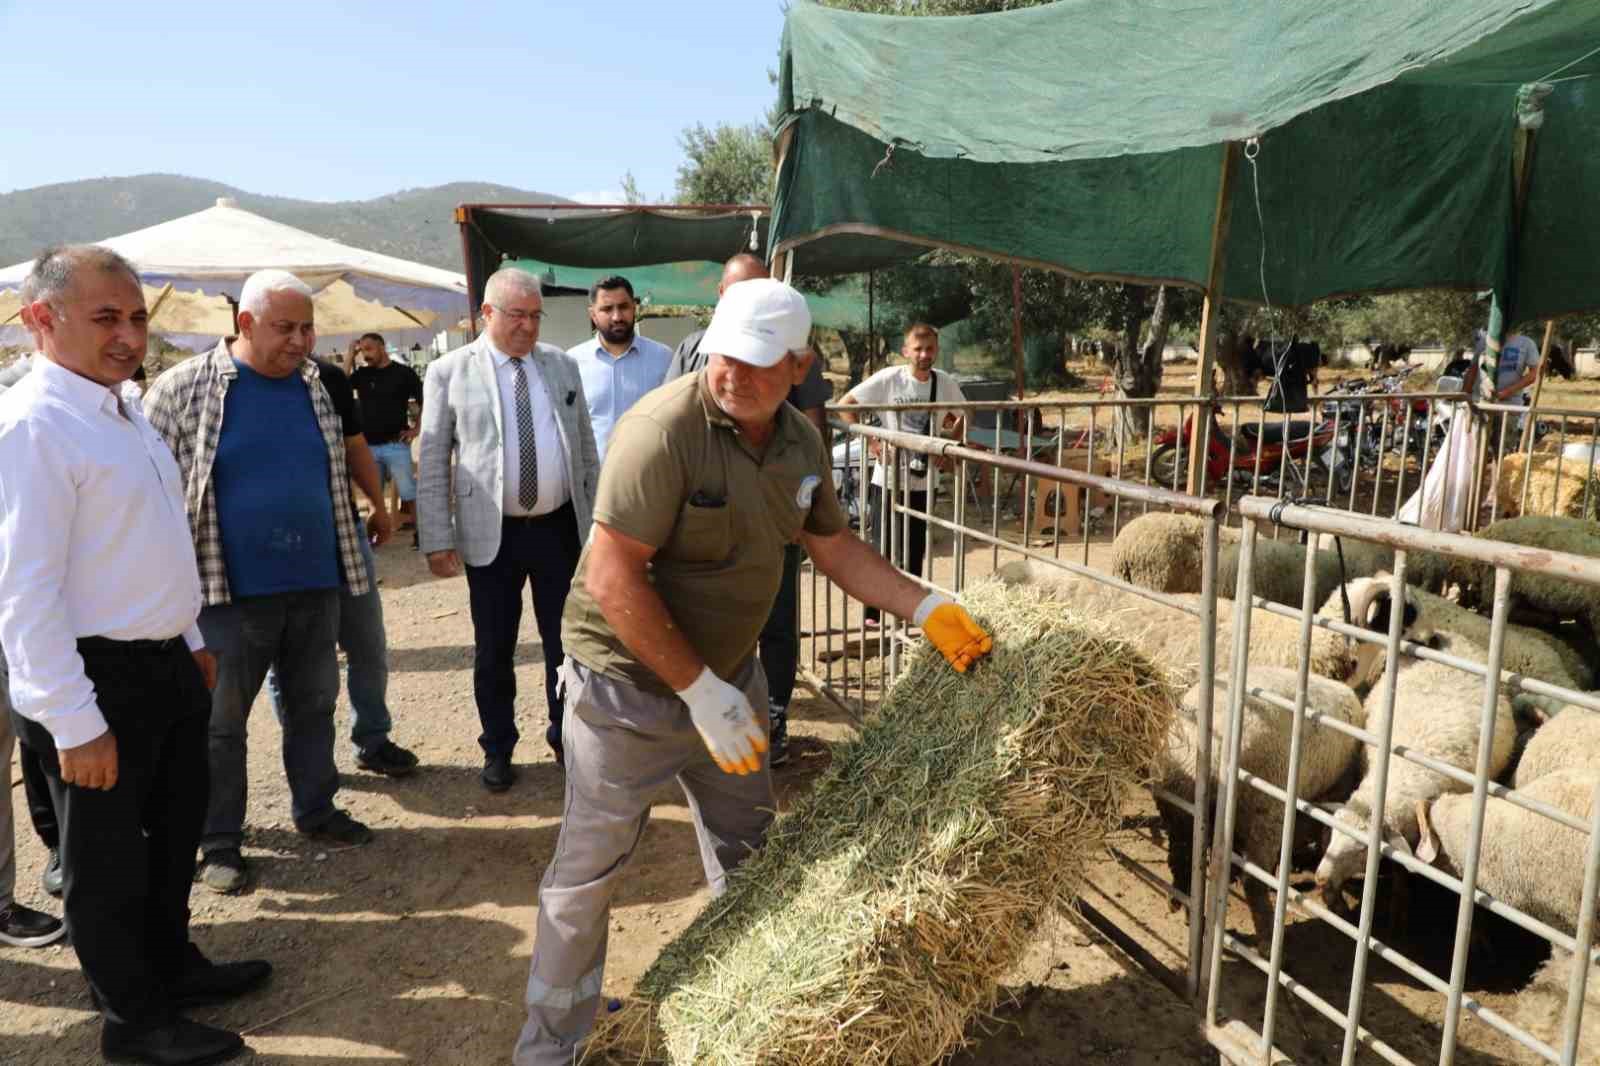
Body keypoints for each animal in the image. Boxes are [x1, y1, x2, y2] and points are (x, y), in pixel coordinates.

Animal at [1152, 665, 1363, 941]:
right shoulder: (1336, 794)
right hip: (1265, 810)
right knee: (1253, 881)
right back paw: (1266, 938)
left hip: (1178, 806)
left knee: (1182, 856)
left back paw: (1184, 907)